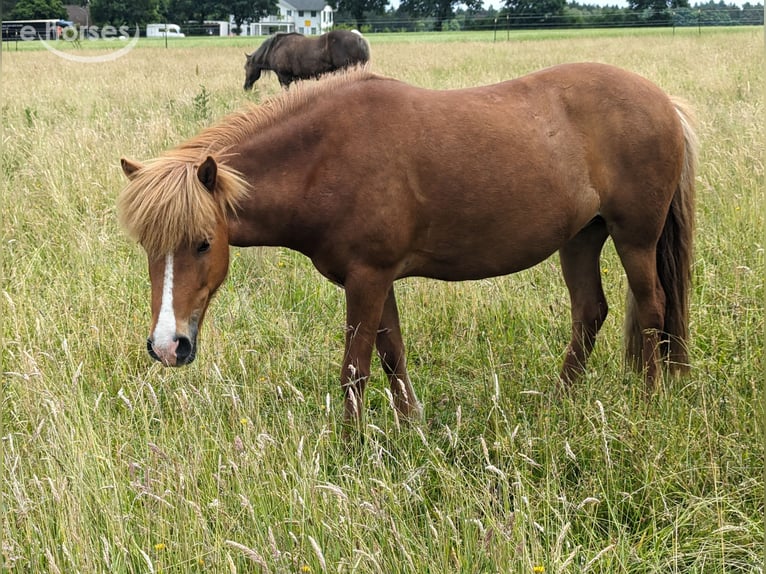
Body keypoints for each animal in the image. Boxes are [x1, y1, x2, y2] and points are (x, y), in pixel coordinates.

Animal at [118, 63, 697, 425]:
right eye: (147, 248)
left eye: (201, 244)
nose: (167, 346)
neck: (324, 157)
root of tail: (663, 101)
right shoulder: (378, 279)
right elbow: (391, 352)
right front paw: (411, 426)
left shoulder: (368, 278)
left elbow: (355, 368)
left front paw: (349, 447)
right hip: (580, 237)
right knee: (590, 313)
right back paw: (560, 402)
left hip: (635, 237)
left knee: (652, 308)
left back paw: (649, 401)